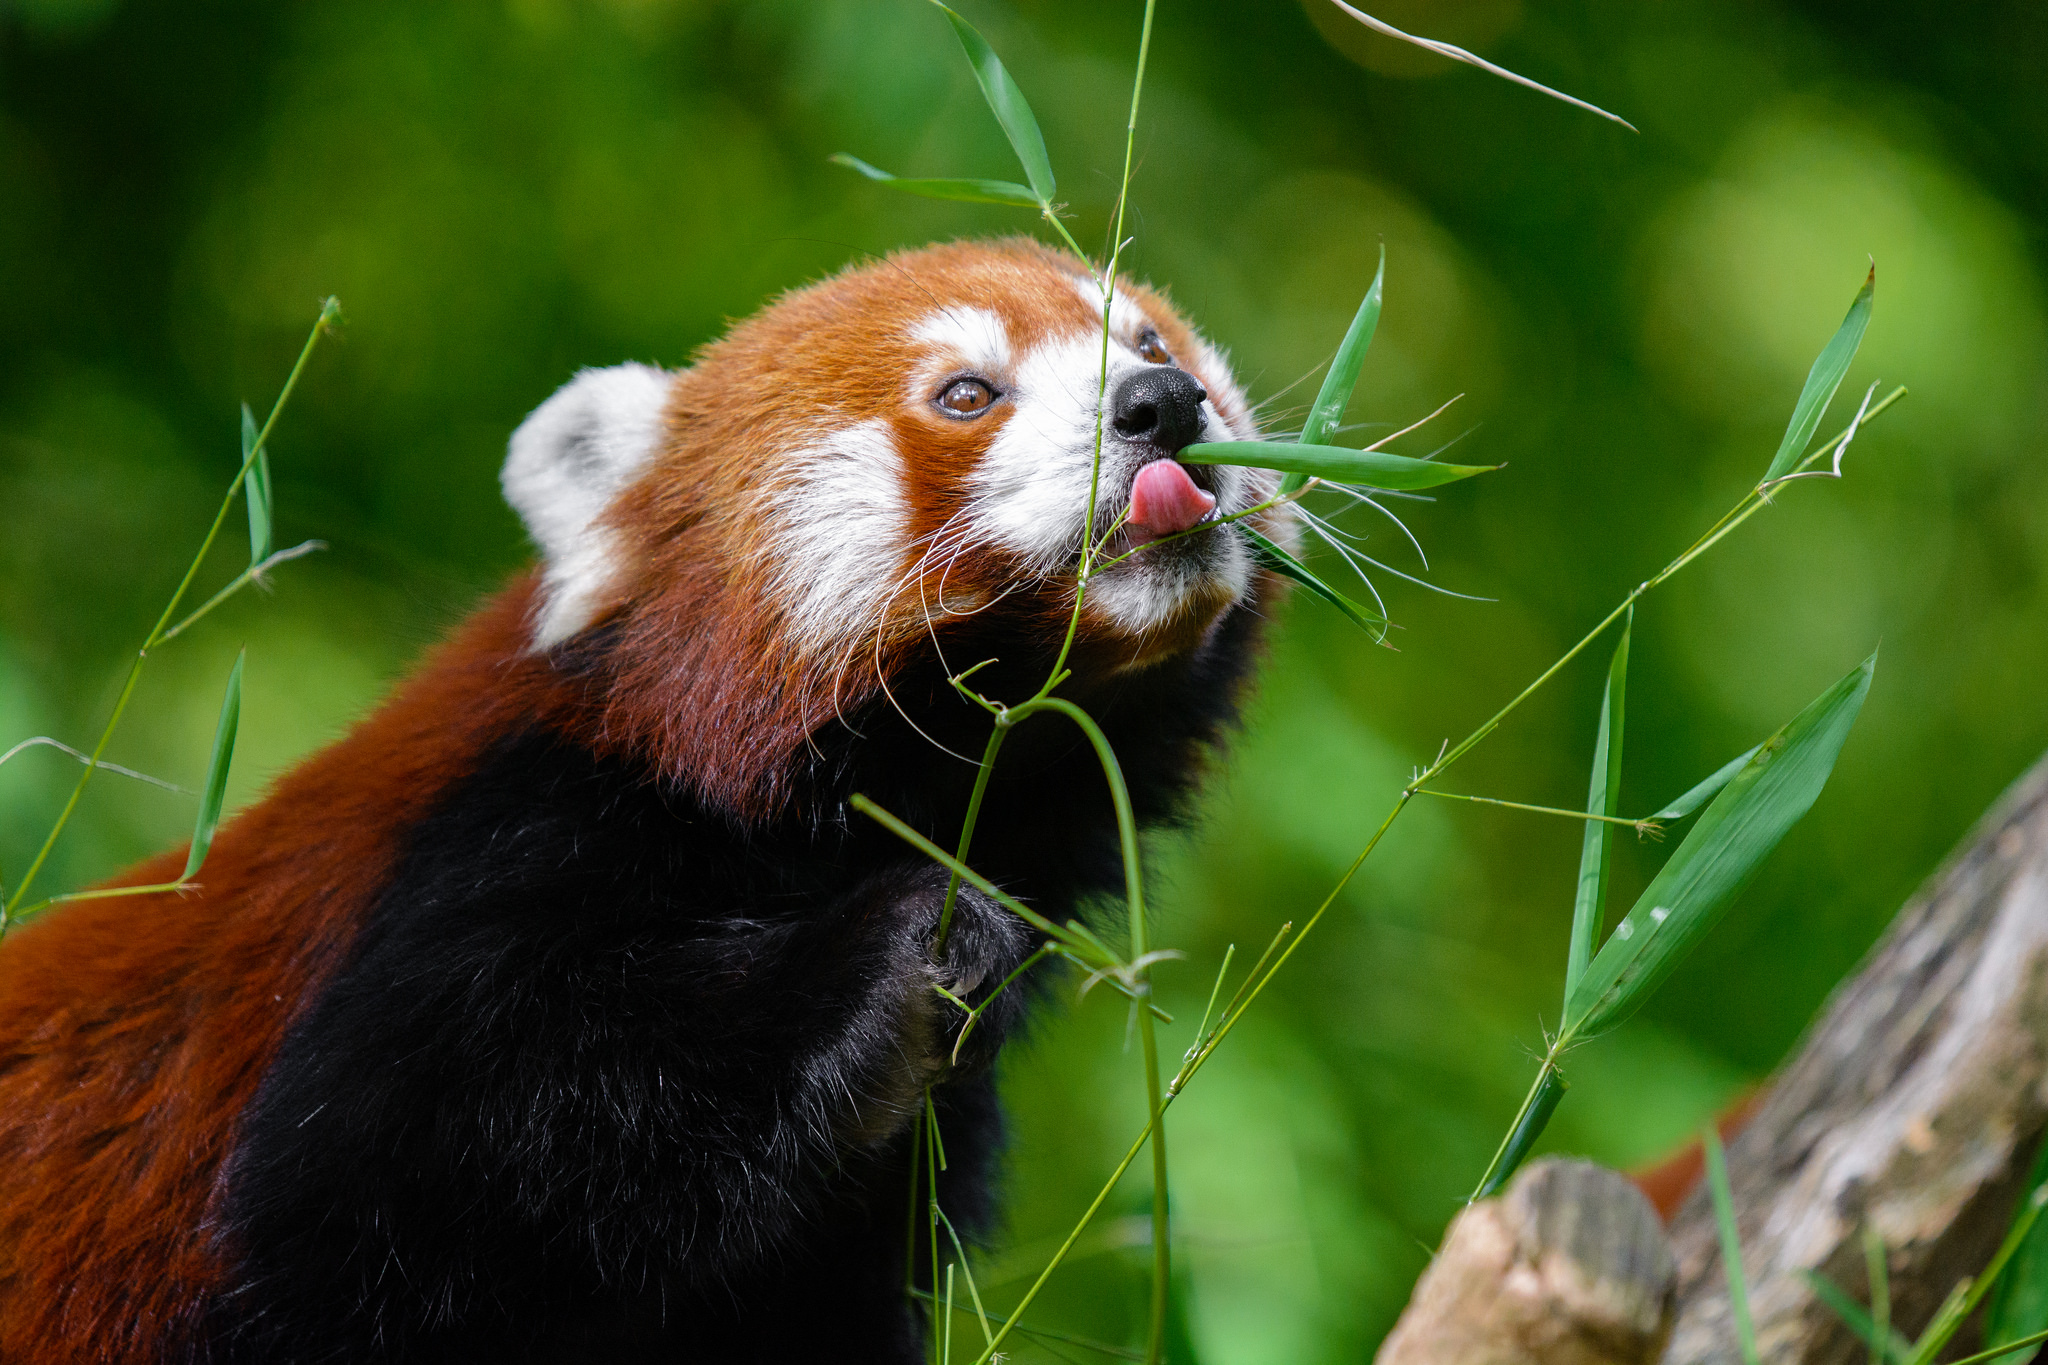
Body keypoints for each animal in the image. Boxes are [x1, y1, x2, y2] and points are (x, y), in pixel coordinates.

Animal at [0, 240, 1286, 1358]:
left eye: (1148, 336)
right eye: (966, 393)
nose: (1163, 404)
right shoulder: (496, 847)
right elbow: (388, 1193)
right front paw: (897, 944)